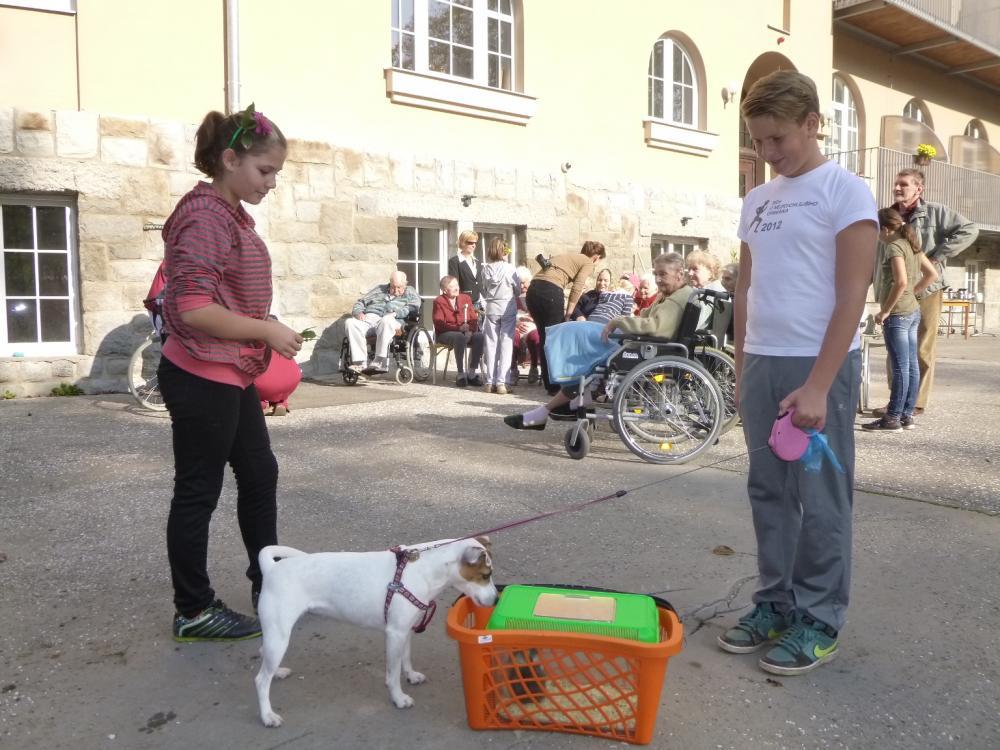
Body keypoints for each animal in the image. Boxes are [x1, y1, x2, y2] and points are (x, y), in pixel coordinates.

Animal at [254, 536, 497, 727]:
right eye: (485, 575)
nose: (496, 600)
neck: (425, 570)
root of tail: (272, 569)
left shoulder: (406, 630)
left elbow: (406, 658)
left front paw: (411, 675)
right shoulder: (395, 634)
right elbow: (393, 673)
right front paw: (398, 698)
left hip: (276, 635)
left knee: (264, 656)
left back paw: (277, 672)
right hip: (279, 637)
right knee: (261, 680)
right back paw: (267, 716)